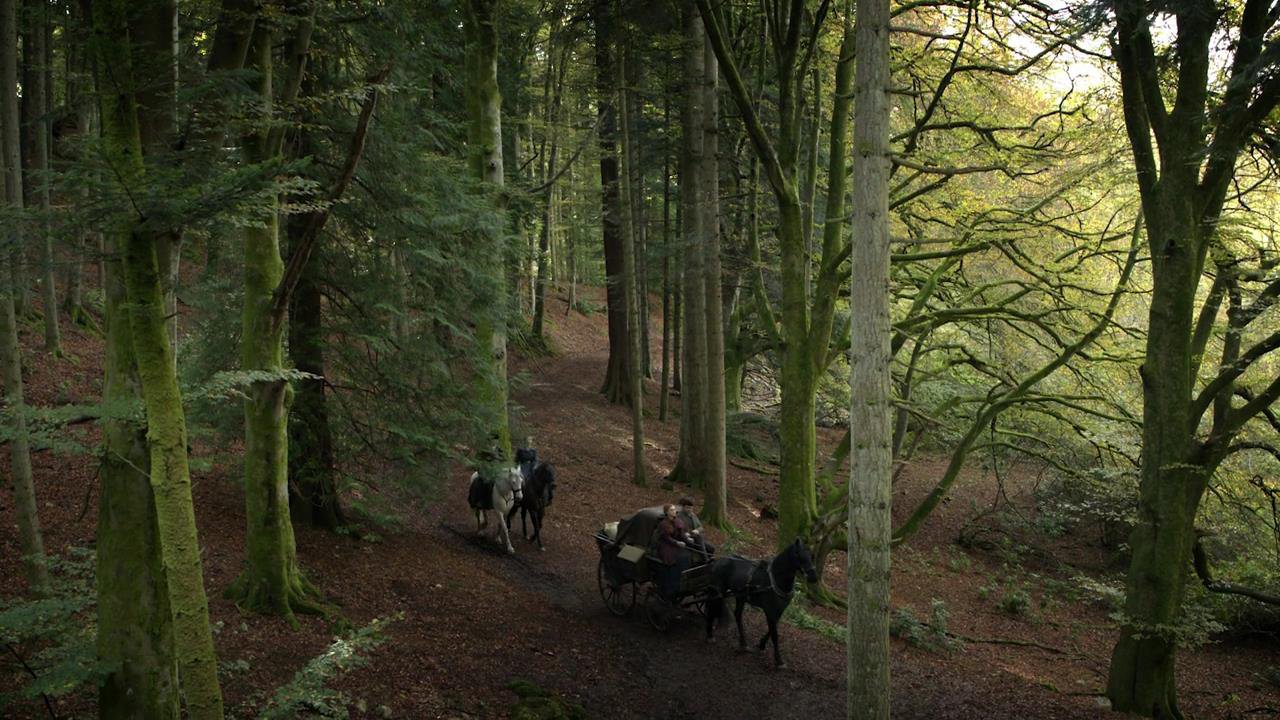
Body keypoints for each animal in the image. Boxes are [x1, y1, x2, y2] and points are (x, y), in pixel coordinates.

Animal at [703, 538, 818, 668]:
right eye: (798, 554)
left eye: (812, 556)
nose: (813, 577)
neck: (775, 581)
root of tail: (719, 560)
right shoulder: (770, 611)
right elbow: (774, 634)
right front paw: (779, 660)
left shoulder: (778, 611)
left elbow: (771, 630)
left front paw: (761, 644)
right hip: (717, 592)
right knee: (712, 609)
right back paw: (710, 634)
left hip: (740, 596)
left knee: (737, 615)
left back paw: (743, 643)